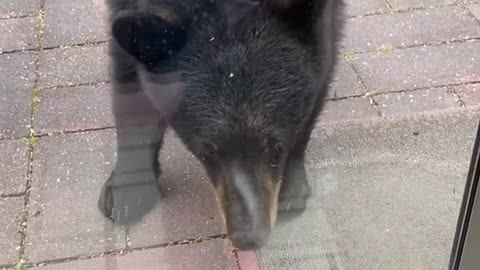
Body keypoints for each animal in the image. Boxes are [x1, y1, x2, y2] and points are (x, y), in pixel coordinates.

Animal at [98, 0, 344, 250]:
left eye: (275, 147)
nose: (248, 237)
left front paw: (292, 188)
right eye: (206, 153)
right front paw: (127, 191)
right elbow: (128, 81)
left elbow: (321, 71)